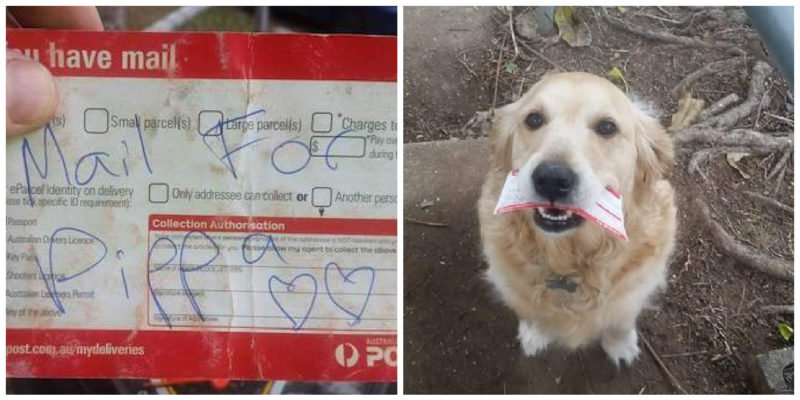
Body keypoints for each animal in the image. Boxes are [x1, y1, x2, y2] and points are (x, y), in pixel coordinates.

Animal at [478, 72, 680, 366]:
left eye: (607, 126)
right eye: (534, 119)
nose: (552, 178)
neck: (567, 263)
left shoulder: (633, 291)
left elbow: (620, 321)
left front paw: (620, 345)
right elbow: (530, 311)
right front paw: (535, 333)